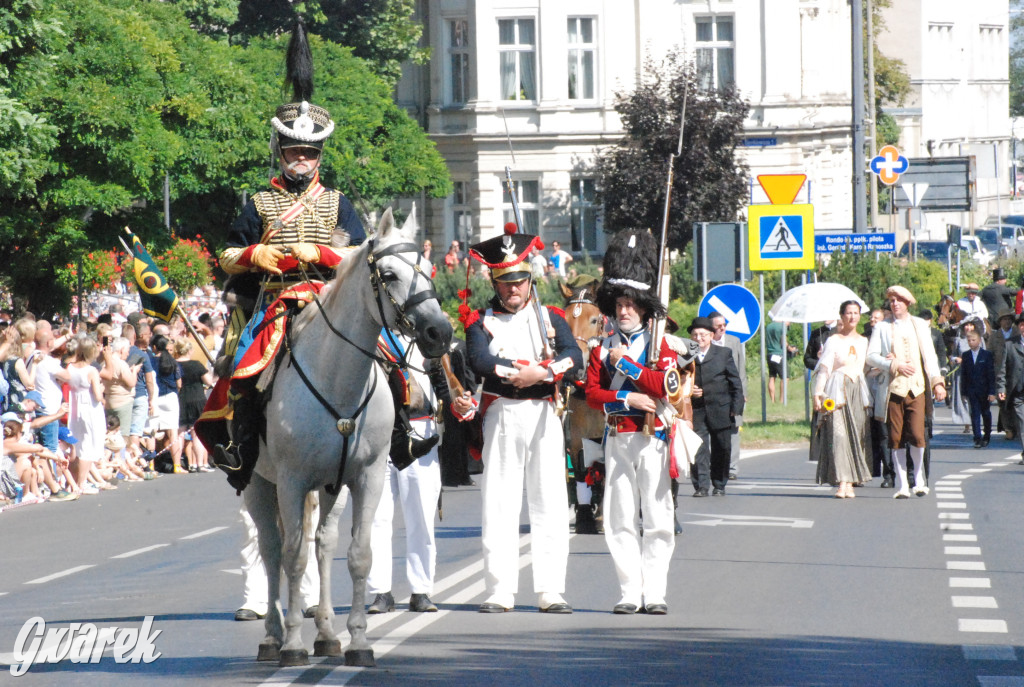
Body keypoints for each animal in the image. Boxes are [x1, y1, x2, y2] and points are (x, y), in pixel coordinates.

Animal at [243, 207, 452, 667]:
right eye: (388, 274)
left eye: (429, 269)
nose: (440, 333)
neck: (336, 378)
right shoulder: (291, 480)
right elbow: (292, 557)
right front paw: (292, 644)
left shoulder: (366, 477)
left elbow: (358, 555)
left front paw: (358, 642)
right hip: (256, 483)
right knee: (272, 549)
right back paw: (272, 636)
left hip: (330, 487)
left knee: (324, 544)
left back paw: (325, 634)